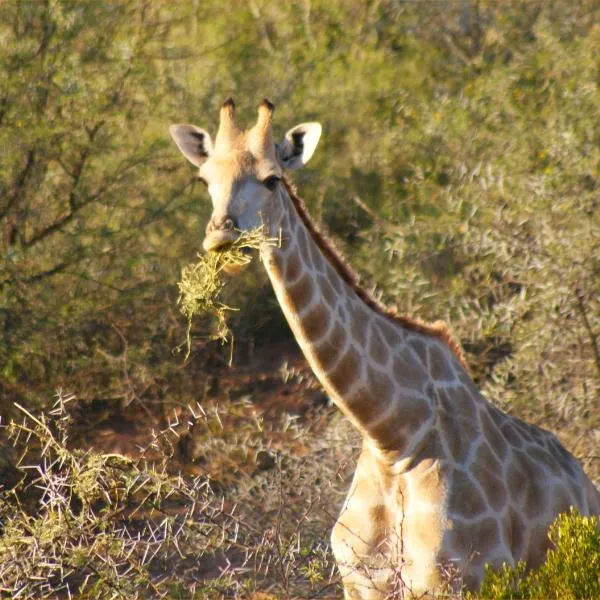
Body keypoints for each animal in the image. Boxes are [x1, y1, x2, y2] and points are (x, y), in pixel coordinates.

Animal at [169, 101, 600, 596]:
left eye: (272, 178)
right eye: (204, 179)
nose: (221, 234)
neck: (392, 437)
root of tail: (587, 486)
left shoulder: (459, 580)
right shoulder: (361, 581)